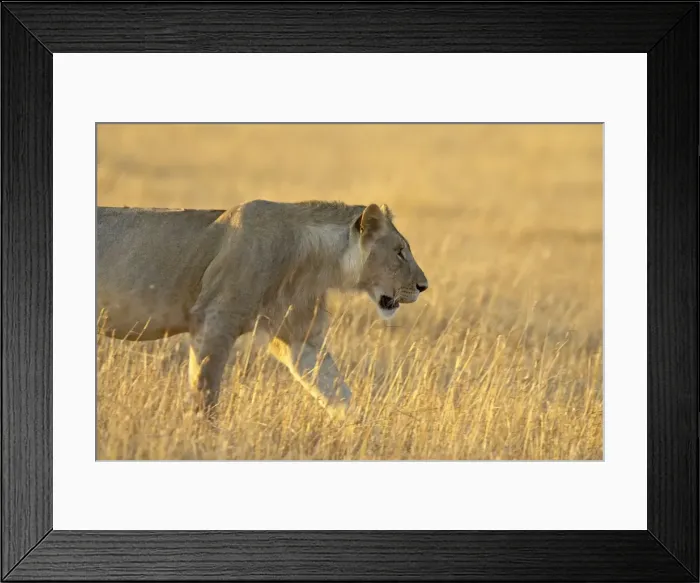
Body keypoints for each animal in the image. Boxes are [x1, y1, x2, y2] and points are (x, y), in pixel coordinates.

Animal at [97, 200, 429, 421]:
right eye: (399, 252)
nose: (424, 286)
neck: (314, 264)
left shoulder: (300, 339)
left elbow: (338, 392)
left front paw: (368, 437)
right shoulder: (214, 320)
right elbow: (206, 391)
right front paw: (203, 439)